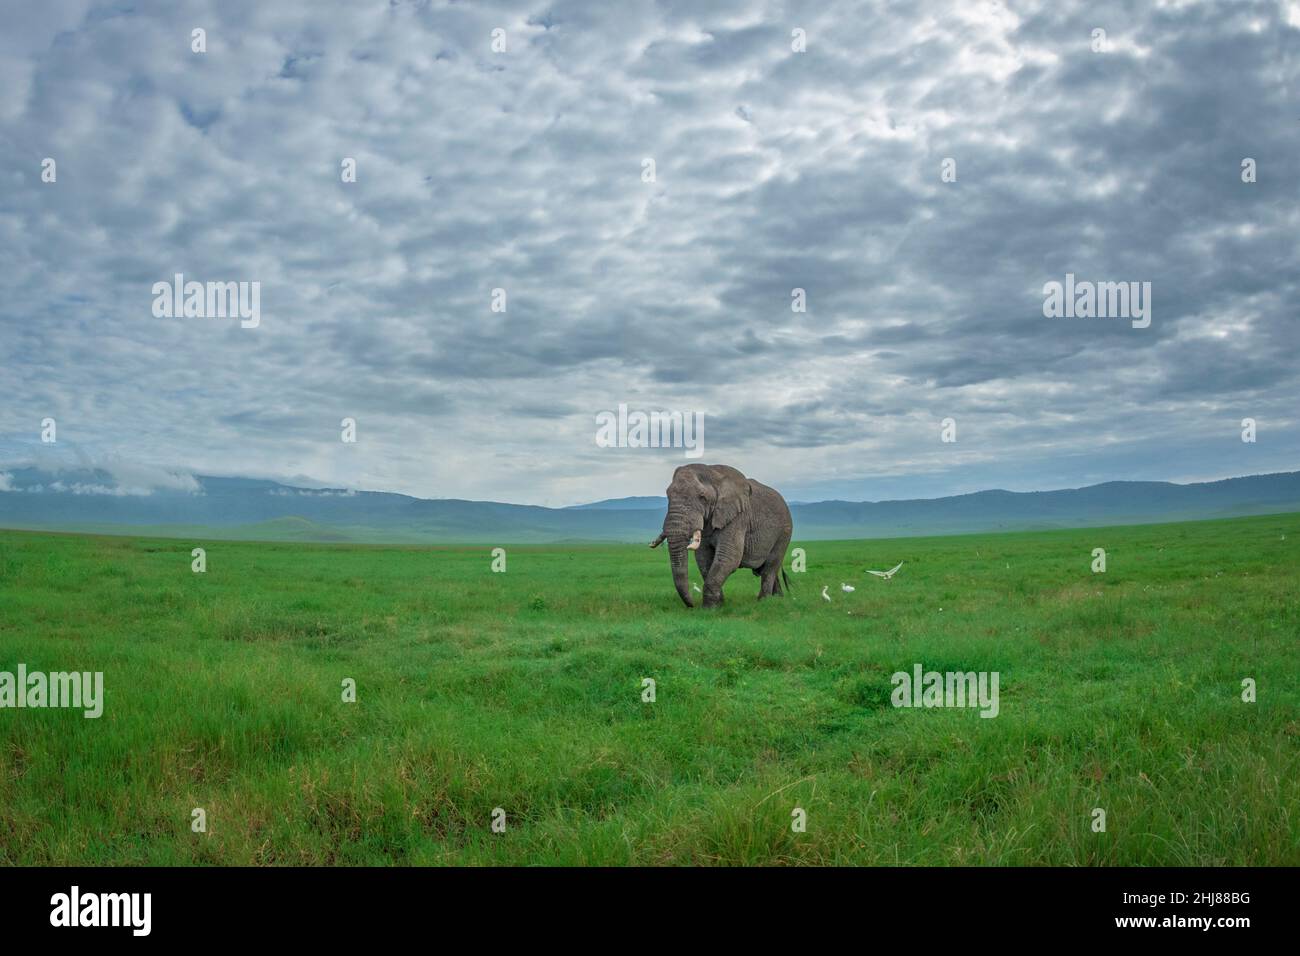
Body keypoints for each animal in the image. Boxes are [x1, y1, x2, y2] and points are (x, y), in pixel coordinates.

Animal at [647, 465, 790, 613]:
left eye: (702, 497)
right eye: (668, 495)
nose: (692, 605)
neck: (713, 473)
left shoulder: (737, 517)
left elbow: (728, 557)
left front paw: (709, 609)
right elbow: (703, 559)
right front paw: (719, 606)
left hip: (784, 532)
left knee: (770, 567)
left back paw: (764, 601)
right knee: (766, 569)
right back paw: (777, 599)